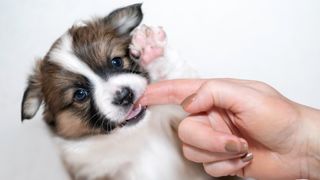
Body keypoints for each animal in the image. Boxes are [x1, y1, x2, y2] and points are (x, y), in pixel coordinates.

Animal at [21, 3, 225, 180]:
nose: (124, 96)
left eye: (117, 61)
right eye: (80, 95)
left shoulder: (181, 119)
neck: (137, 135)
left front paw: (150, 48)